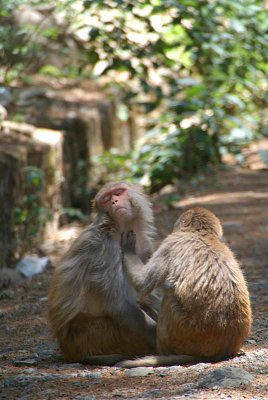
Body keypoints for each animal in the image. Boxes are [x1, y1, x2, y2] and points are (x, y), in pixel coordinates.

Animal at [47, 183, 160, 364]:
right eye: (106, 199)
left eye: (118, 192)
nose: (114, 201)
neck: (120, 229)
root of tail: (67, 350)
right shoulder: (104, 249)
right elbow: (118, 304)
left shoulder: (144, 244)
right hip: (93, 335)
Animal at [117, 208, 251, 368]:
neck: (201, 234)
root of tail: (222, 350)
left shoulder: (169, 244)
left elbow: (143, 282)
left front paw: (129, 249)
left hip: (186, 333)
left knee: (169, 298)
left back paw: (162, 350)